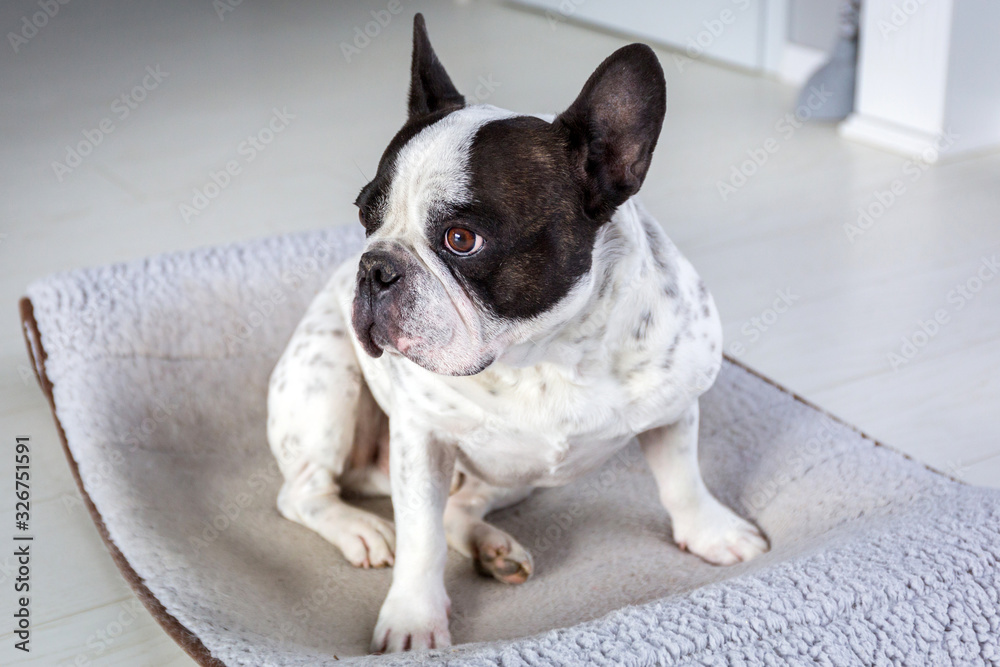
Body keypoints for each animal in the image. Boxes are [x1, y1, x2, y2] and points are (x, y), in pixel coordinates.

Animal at [266, 13, 764, 656]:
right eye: (364, 217)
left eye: (460, 240)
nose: (375, 267)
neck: (547, 352)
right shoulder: (422, 437)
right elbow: (421, 536)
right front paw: (413, 619)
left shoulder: (675, 405)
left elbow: (682, 476)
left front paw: (710, 531)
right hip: (327, 379)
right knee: (305, 494)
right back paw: (362, 529)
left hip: (515, 474)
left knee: (458, 507)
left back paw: (493, 547)